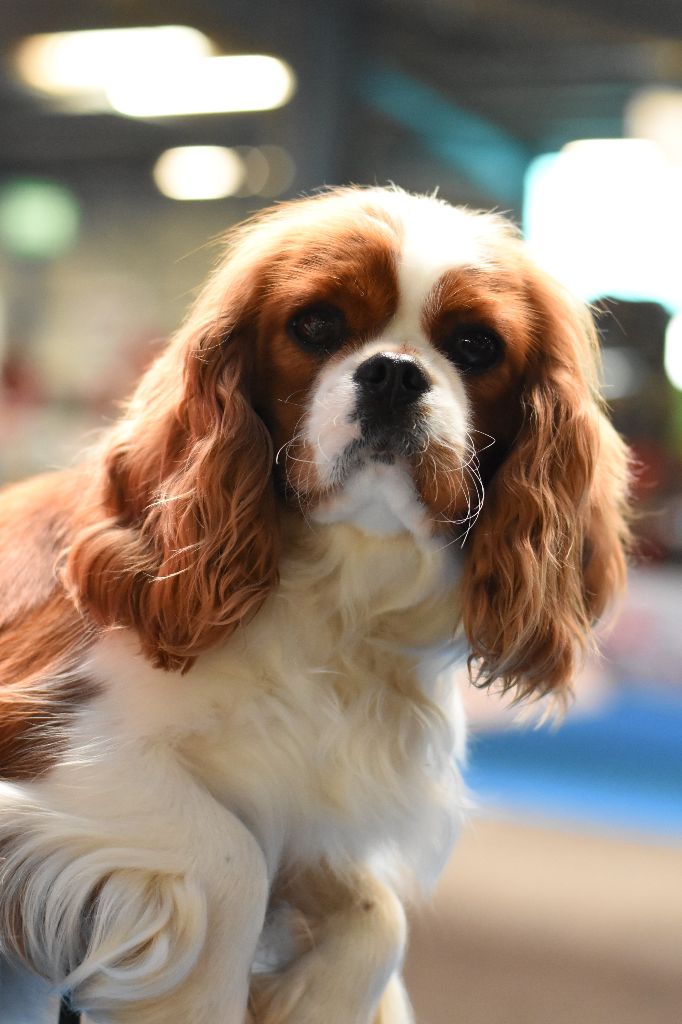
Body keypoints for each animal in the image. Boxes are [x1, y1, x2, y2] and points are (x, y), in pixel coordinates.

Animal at [0, 186, 626, 1024]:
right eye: (317, 325)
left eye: (475, 346)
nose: (393, 374)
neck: (337, 600)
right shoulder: (56, 738)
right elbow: (231, 859)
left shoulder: (304, 800)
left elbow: (377, 914)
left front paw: (313, 1000)